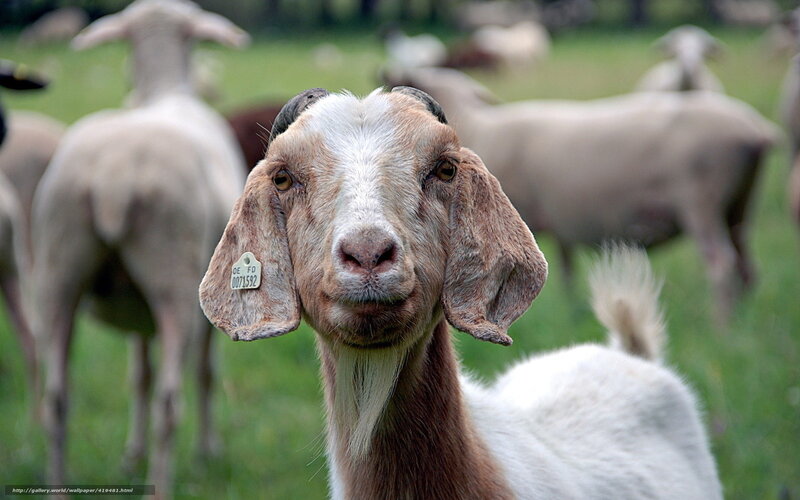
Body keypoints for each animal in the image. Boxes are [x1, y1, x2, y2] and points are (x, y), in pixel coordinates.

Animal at [30, 1, 248, 496]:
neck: (164, 89)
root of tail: (114, 174)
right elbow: (204, 373)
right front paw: (207, 450)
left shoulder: (135, 309)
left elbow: (138, 376)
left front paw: (132, 454)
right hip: (175, 279)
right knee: (170, 400)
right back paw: (163, 484)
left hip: (57, 270)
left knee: (56, 400)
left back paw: (57, 485)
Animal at [386, 67, 777, 322]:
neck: (480, 125)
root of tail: (756, 131)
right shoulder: (555, 220)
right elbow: (565, 268)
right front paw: (572, 311)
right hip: (739, 206)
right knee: (747, 266)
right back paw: (743, 323)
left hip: (701, 202)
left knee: (722, 265)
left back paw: (721, 326)